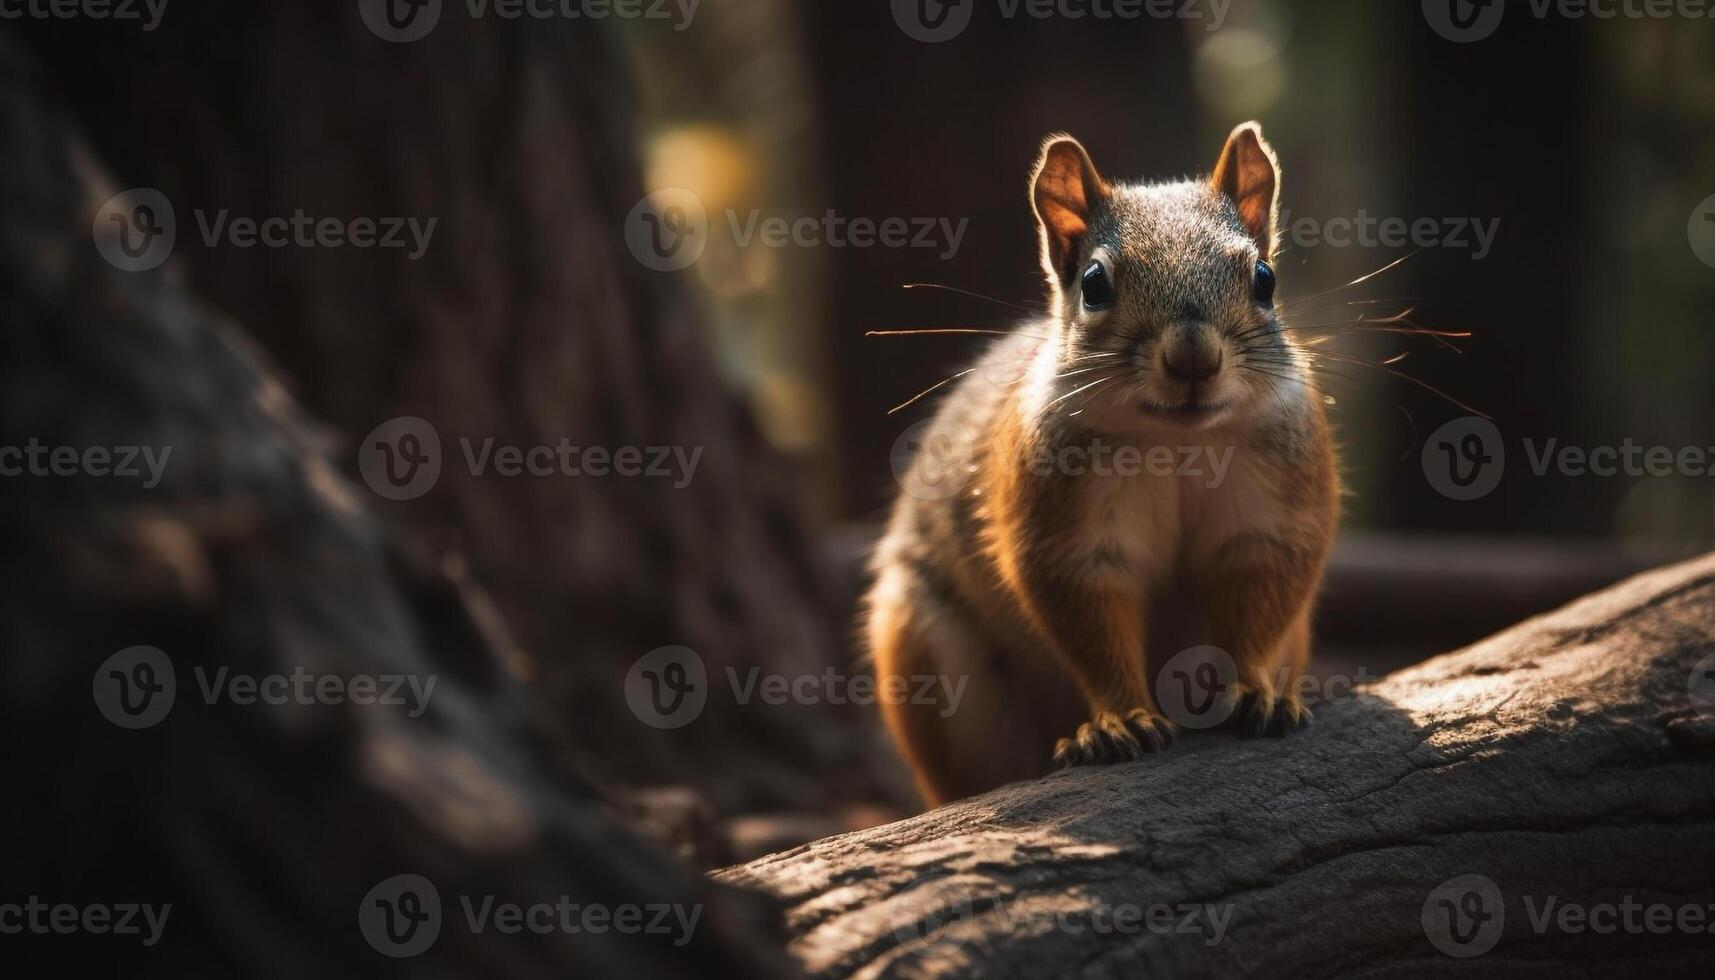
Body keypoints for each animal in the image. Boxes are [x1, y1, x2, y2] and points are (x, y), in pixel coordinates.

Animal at [871, 122, 1337, 810]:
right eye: (1093, 284)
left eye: (1264, 278)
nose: (1193, 358)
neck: (1178, 443)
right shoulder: (1066, 528)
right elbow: (1090, 624)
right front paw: (1122, 721)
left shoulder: (1275, 511)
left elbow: (1261, 600)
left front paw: (1256, 691)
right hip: (932, 655)